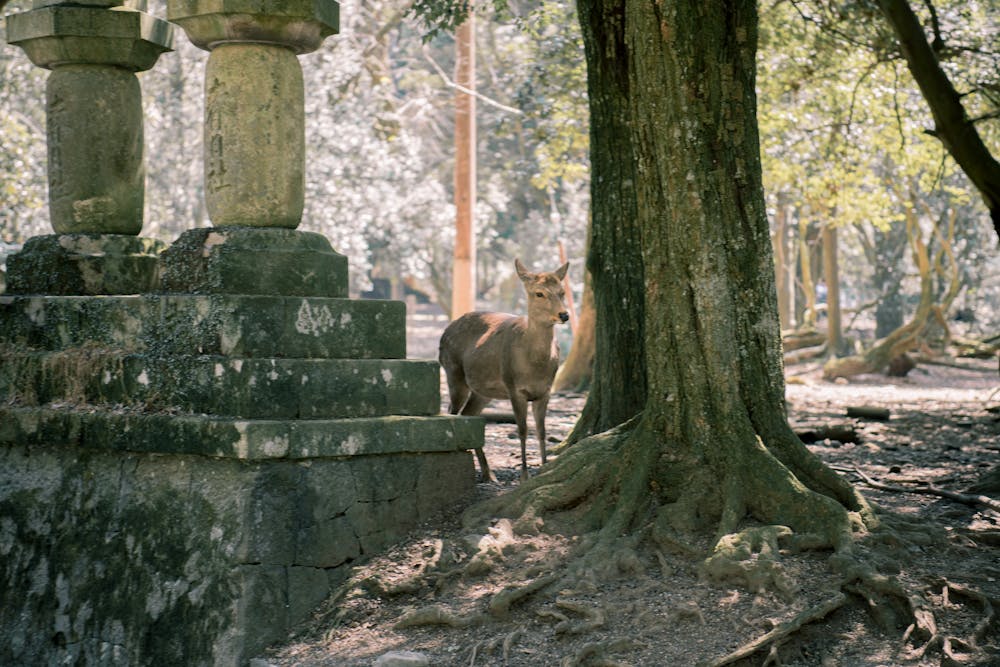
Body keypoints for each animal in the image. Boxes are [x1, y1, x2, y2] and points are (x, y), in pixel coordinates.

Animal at [439, 259, 570, 483]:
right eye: (539, 293)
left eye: (562, 292)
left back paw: (489, 473)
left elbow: (541, 431)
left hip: (482, 391)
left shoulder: (545, 391)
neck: (534, 365)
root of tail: (444, 332)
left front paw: (545, 468)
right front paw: (524, 475)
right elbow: (522, 430)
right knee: (452, 412)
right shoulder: (513, 387)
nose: (564, 314)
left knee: (469, 415)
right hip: (453, 372)